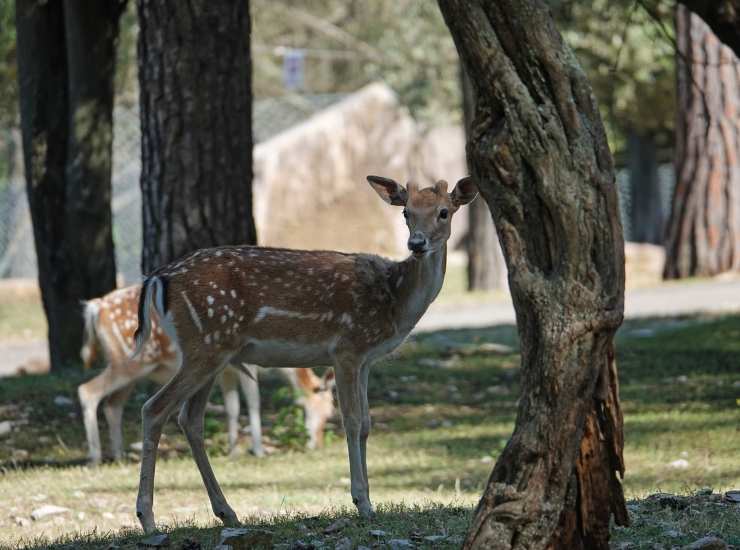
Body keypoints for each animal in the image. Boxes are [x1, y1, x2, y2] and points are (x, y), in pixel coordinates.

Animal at [78, 284, 336, 466]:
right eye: (325, 412)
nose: (319, 444)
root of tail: (95, 307)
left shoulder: (227, 370)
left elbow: (232, 407)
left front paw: (234, 449)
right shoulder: (247, 364)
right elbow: (253, 401)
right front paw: (259, 450)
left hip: (132, 370)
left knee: (112, 404)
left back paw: (119, 455)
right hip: (129, 362)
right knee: (87, 391)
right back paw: (95, 457)